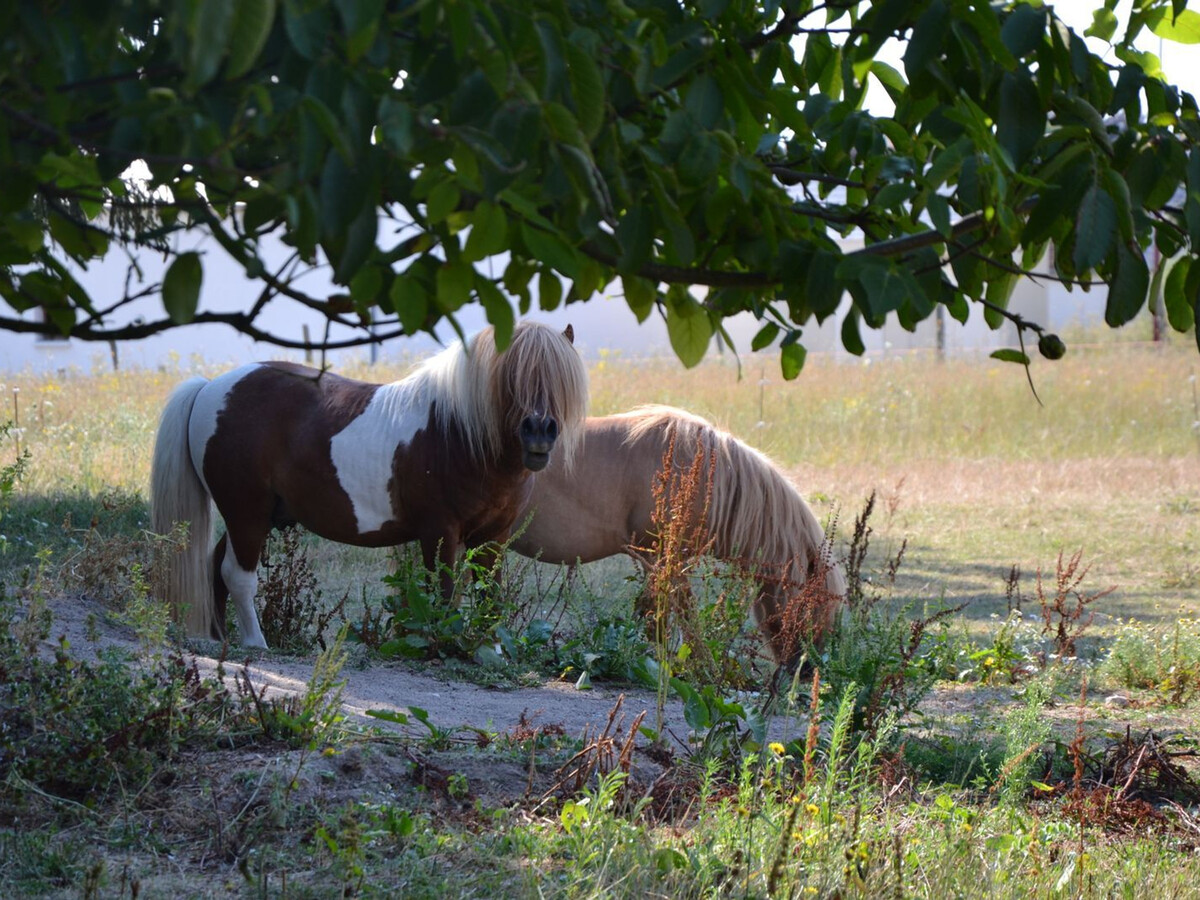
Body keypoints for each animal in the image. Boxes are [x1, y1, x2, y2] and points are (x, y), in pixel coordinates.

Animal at [150, 321, 588, 648]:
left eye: (561, 379)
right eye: (511, 377)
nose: (539, 433)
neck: (457, 431)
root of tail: (210, 387)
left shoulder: (493, 538)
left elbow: (489, 595)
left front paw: (489, 649)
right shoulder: (440, 532)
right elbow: (444, 595)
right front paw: (444, 645)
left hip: (256, 516)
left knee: (217, 569)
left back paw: (222, 638)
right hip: (247, 512)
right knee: (237, 575)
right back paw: (256, 644)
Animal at [499, 405, 845, 662]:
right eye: (817, 600)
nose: (807, 666)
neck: (697, 469)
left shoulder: (662, 562)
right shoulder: (665, 559)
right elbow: (680, 620)